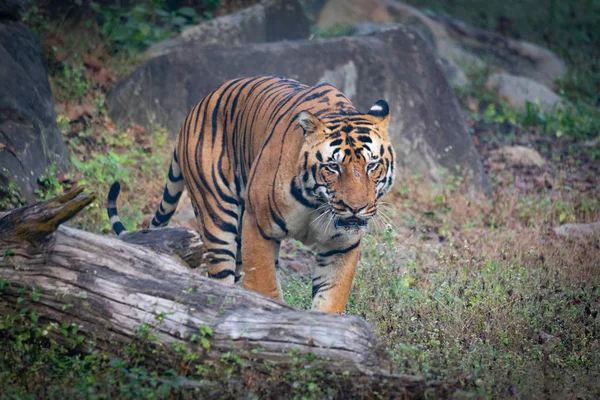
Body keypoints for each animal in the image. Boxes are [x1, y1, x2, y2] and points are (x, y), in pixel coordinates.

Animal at [106, 74, 398, 312]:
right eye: (333, 167)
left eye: (372, 165)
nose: (355, 208)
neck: (317, 203)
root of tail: (194, 109)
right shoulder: (258, 227)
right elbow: (265, 288)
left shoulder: (341, 245)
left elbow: (330, 300)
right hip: (218, 218)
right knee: (219, 279)